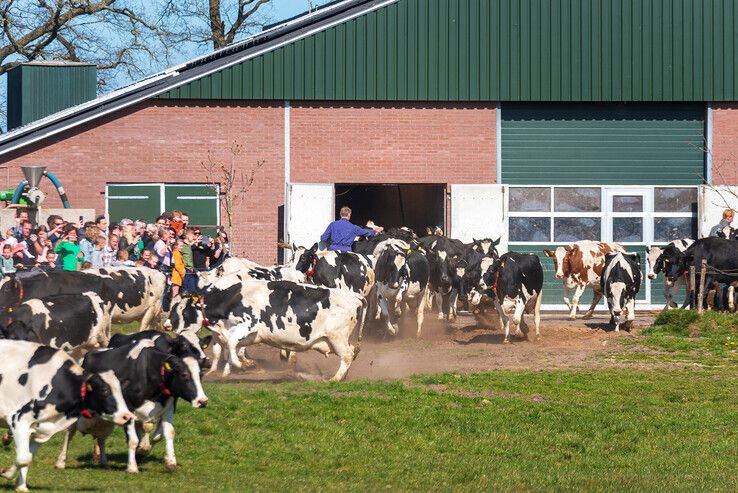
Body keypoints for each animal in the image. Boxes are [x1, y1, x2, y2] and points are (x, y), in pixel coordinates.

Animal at [0, 340, 131, 490]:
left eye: (120, 390)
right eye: (104, 390)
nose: (126, 416)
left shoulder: (41, 429)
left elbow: (28, 457)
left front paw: (21, 487)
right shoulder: (18, 419)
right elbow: (23, 458)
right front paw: (6, 473)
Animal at [55, 338, 207, 472]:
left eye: (200, 375)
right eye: (184, 375)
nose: (203, 401)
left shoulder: (168, 406)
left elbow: (168, 432)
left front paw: (170, 462)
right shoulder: (129, 409)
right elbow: (133, 440)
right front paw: (133, 467)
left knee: (102, 437)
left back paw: (104, 462)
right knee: (69, 432)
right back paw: (61, 462)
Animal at [165, 280, 364, 380]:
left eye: (183, 310)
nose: (169, 327)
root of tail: (355, 296)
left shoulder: (247, 325)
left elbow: (232, 345)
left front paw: (245, 366)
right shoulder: (241, 334)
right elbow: (230, 347)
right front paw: (227, 371)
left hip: (337, 337)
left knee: (347, 355)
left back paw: (335, 379)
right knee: (352, 352)